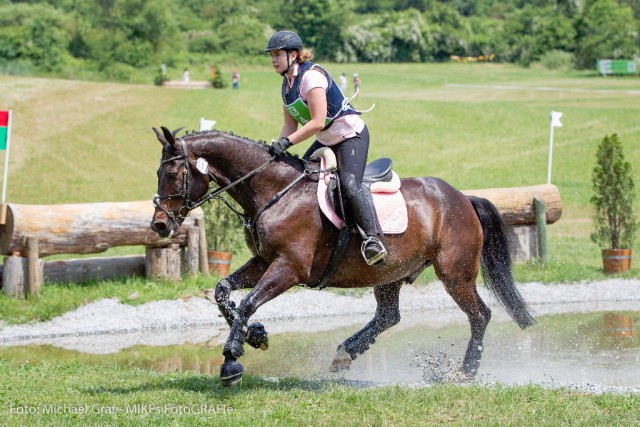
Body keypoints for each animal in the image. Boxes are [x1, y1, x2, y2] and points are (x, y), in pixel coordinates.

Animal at [150, 126, 536, 388]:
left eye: (172, 173)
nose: (159, 225)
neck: (274, 191)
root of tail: (463, 198)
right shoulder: (263, 262)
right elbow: (223, 292)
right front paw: (255, 336)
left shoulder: (288, 268)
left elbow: (247, 302)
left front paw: (232, 357)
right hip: (390, 273)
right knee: (389, 316)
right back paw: (345, 353)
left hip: (454, 272)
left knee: (480, 314)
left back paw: (465, 372)